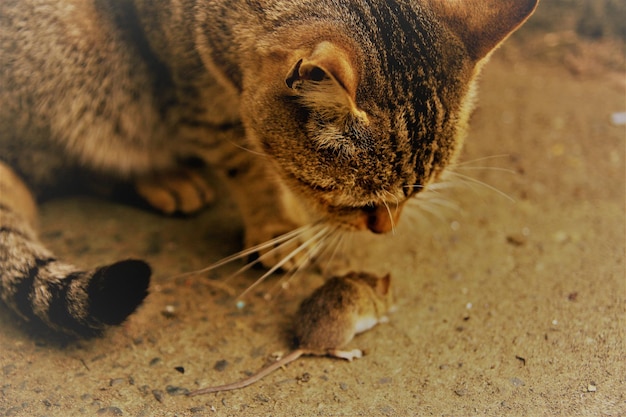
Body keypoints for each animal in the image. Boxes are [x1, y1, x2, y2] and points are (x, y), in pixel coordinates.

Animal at [0, 0, 536, 336]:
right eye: (356, 202)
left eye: (417, 191)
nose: (385, 230)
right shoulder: (196, 97)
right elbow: (249, 167)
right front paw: (278, 228)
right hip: (85, 69)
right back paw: (163, 177)